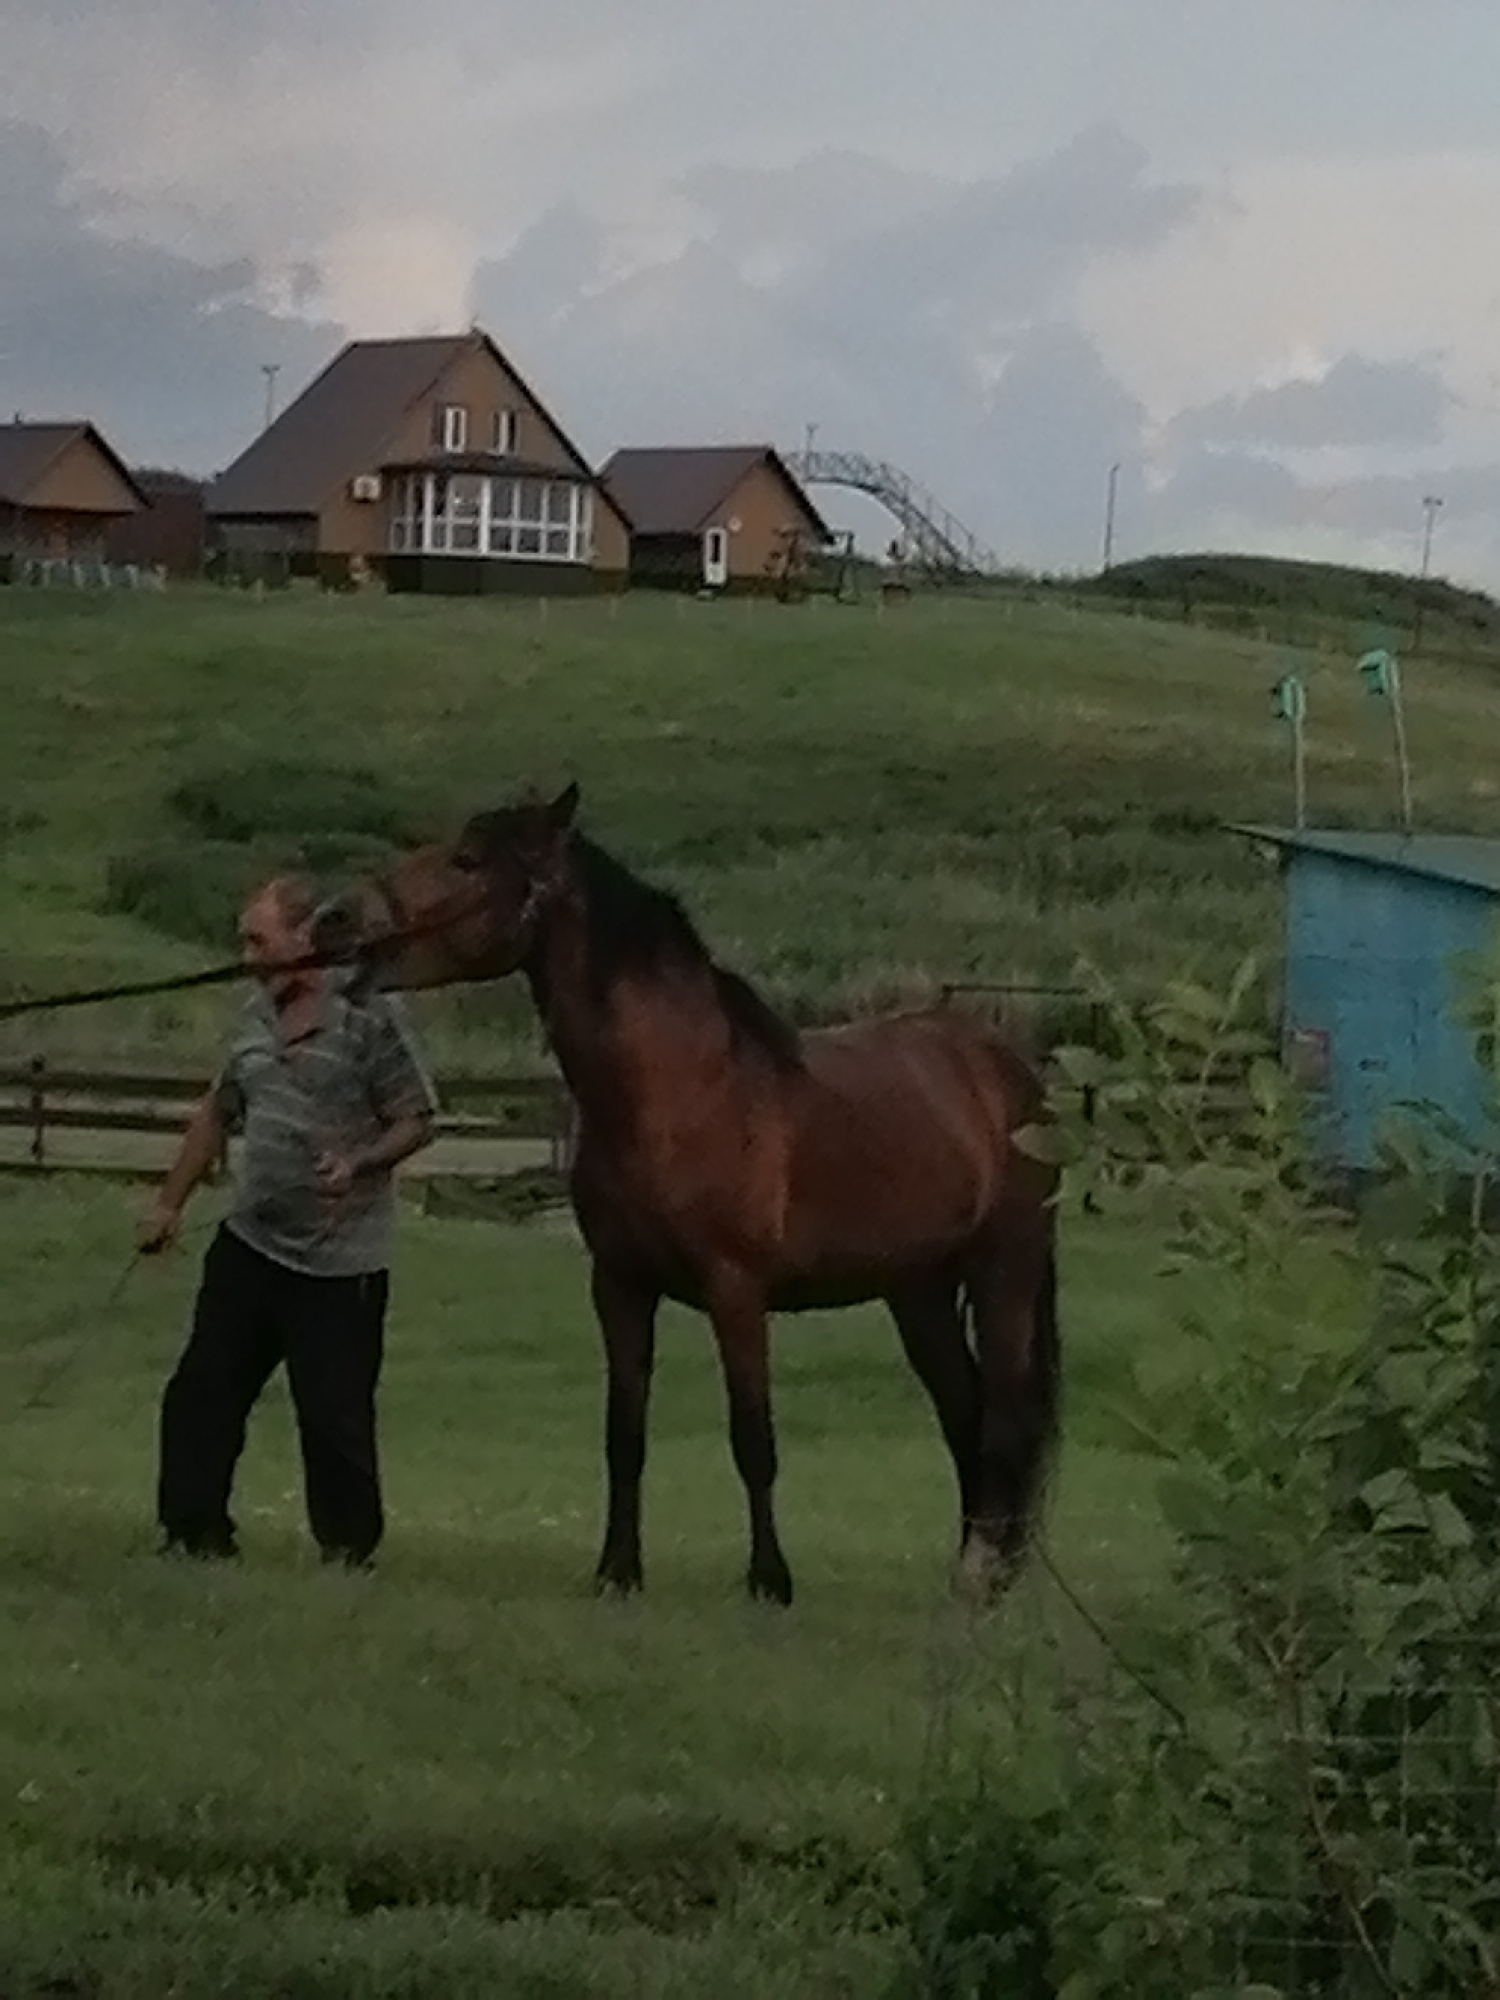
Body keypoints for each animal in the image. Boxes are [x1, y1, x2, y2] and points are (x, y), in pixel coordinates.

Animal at [315, 783, 1062, 1606]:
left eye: (469, 860)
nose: (334, 919)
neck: (677, 1094)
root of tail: (1007, 1068)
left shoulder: (735, 1291)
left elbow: (753, 1439)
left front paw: (770, 1581)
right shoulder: (619, 1288)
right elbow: (625, 1436)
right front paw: (618, 1573)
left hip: (1004, 1272)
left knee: (1003, 1419)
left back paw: (984, 1575)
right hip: (918, 1291)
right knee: (964, 1413)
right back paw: (976, 1572)